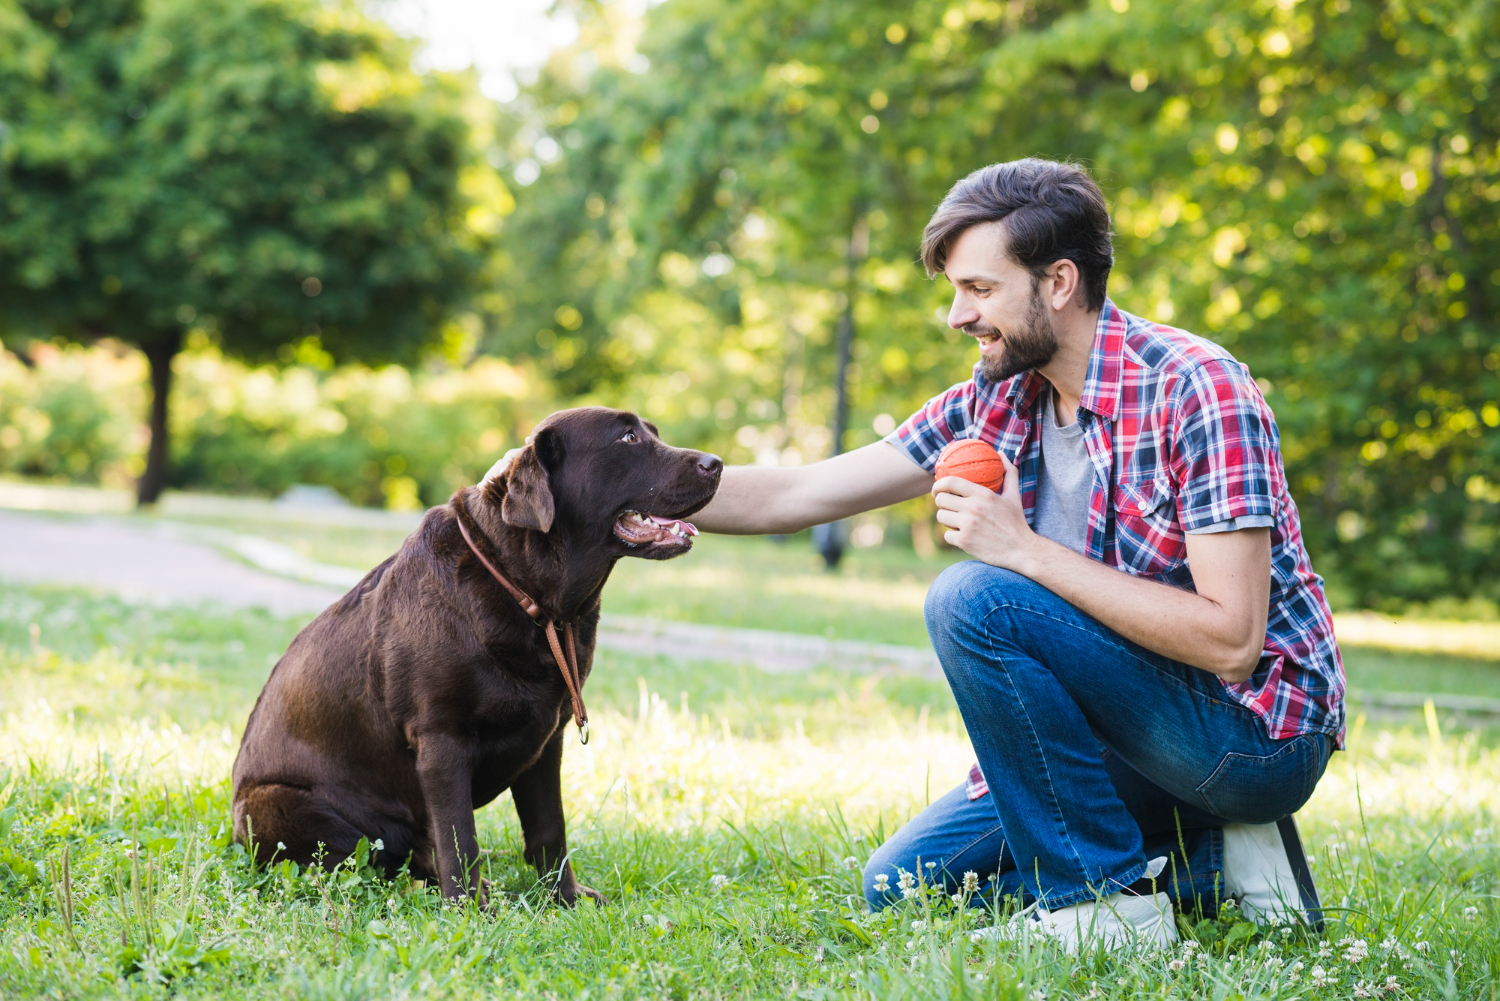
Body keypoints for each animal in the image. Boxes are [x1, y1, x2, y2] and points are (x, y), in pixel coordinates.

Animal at [231, 402, 723, 906]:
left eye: (653, 432)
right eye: (627, 438)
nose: (717, 463)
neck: (529, 594)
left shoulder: (549, 737)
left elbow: (550, 828)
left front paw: (564, 898)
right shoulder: (441, 740)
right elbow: (458, 836)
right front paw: (469, 909)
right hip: (281, 806)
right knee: (378, 861)